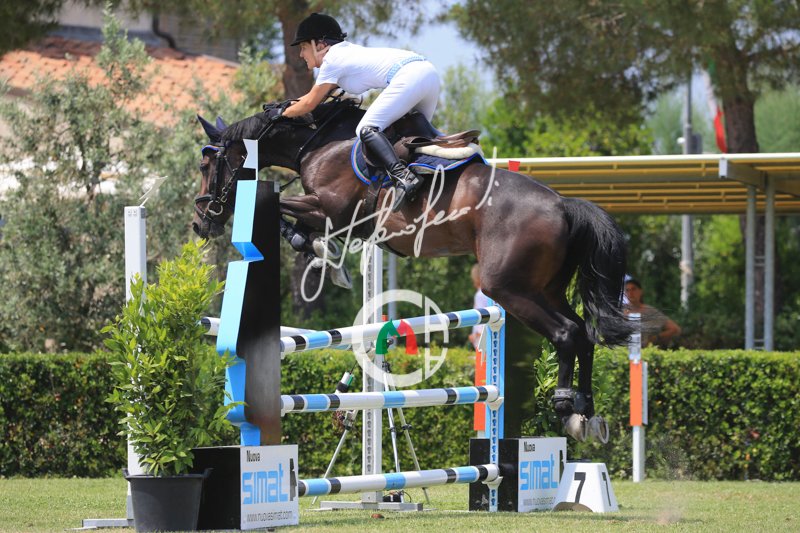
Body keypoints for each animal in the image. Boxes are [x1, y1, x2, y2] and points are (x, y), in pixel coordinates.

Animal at [192, 98, 633, 442]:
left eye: (206, 164)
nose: (200, 222)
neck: (317, 144)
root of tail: (563, 205)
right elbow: (296, 222)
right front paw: (322, 253)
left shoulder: (332, 209)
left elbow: (283, 207)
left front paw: (316, 248)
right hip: (544, 288)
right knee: (584, 332)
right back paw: (586, 413)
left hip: (508, 288)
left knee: (567, 333)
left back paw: (566, 409)